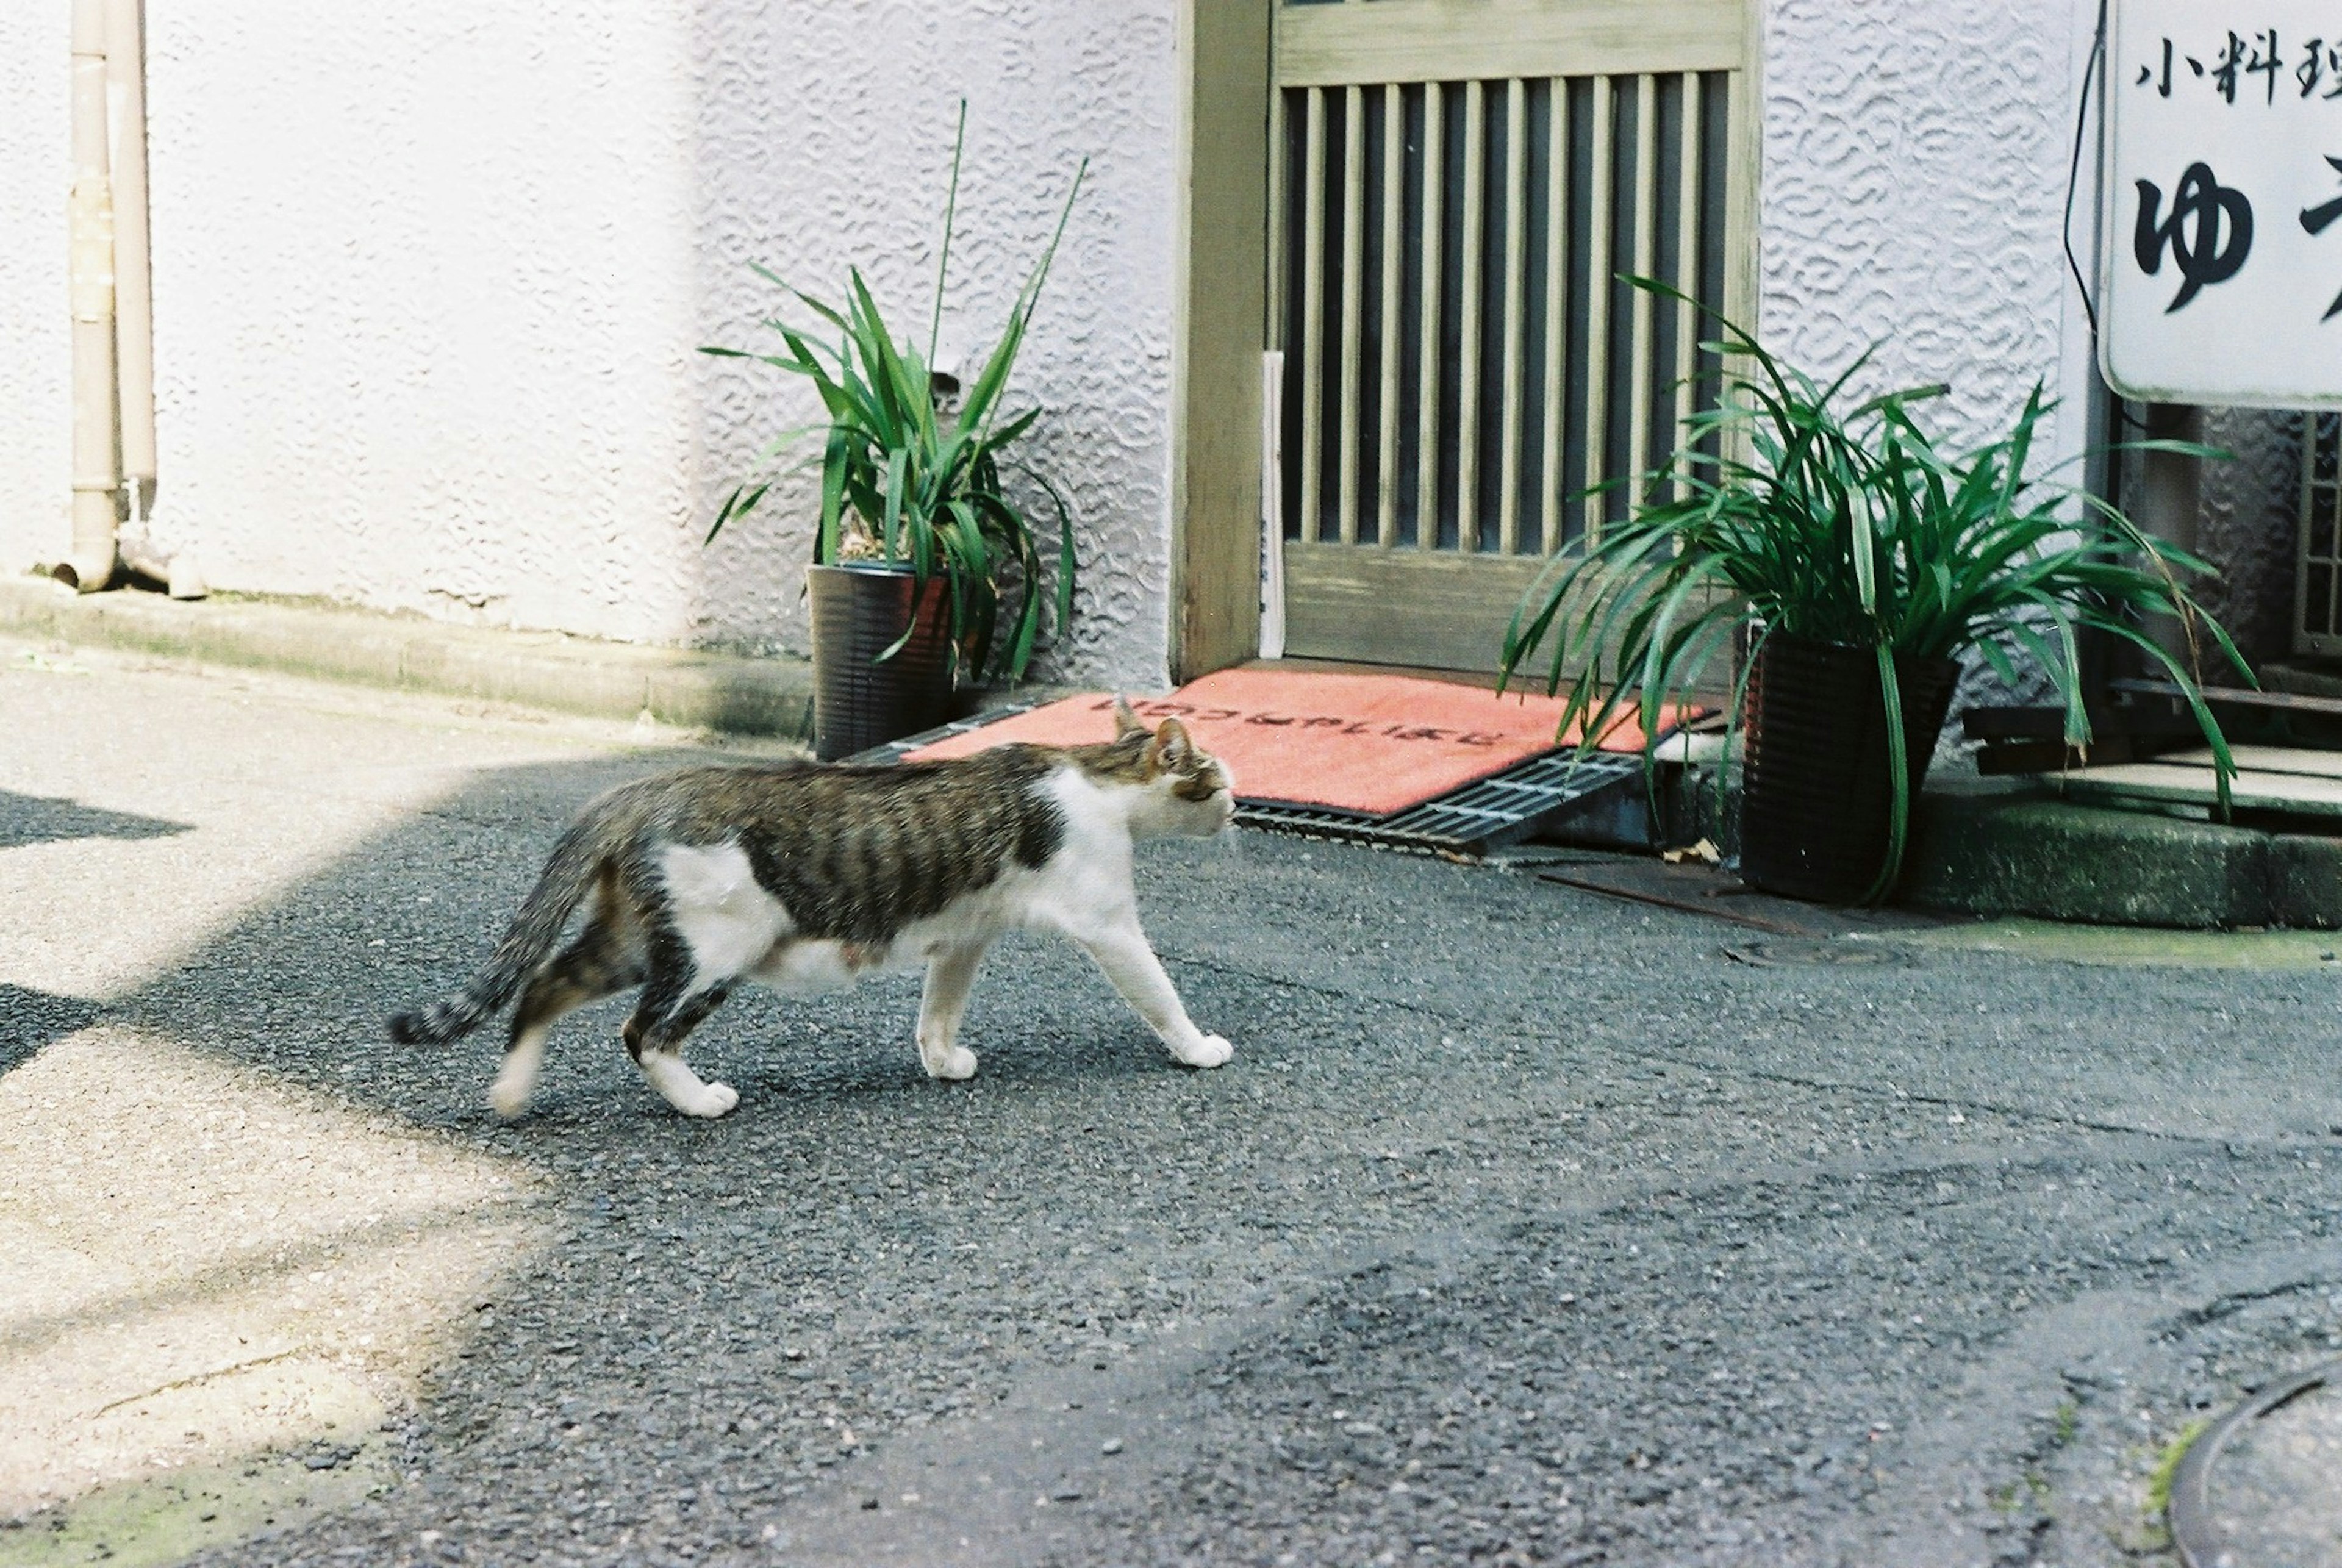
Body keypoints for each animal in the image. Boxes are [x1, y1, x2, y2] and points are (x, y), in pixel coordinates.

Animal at [384, 697, 1236, 1119]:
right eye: (1218, 777)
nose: (1233, 807)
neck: (1102, 776)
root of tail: (644, 788)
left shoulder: (964, 934)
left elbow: (938, 1010)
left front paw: (941, 1061)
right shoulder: (1107, 921)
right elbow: (1160, 990)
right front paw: (1197, 1048)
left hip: (633, 938)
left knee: (542, 987)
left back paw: (510, 1096)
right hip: (717, 948)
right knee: (643, 1032)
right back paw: (699, 1103)